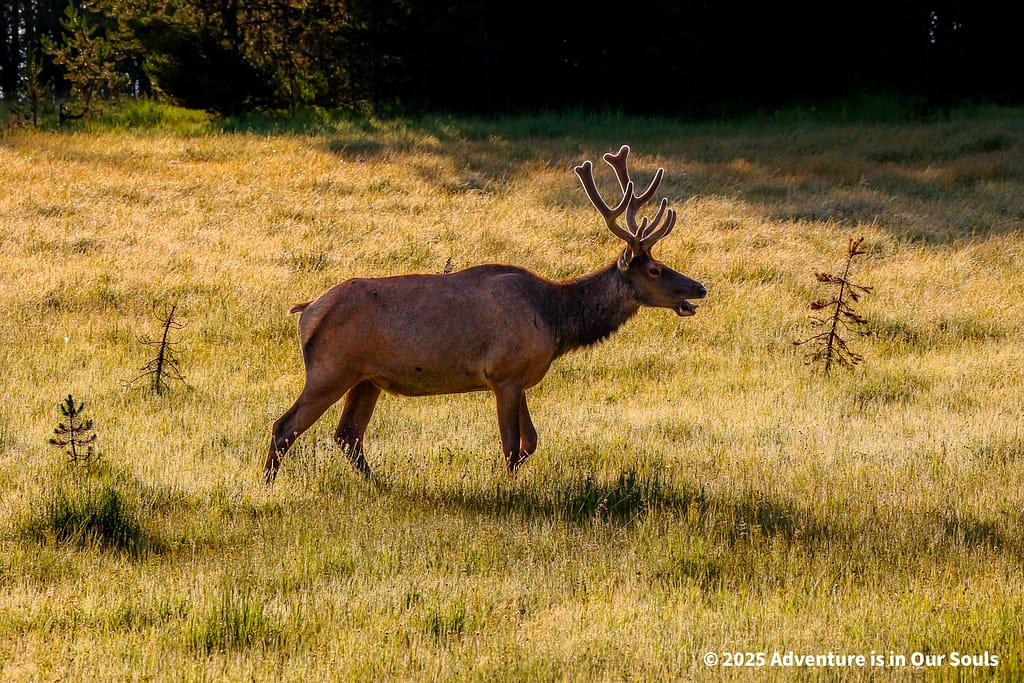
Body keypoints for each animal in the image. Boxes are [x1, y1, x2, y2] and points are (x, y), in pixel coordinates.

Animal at [263, 145, 706, 484]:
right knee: (285, 426)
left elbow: (531, 442)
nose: (699, 287)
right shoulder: (503, 373)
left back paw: (380, 483)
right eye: (655, 270)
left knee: (347, 436)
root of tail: (307, 311)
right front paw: (505, 489)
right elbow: (512, 446)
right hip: (331, 368)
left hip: (367, 378)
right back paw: (269, 485)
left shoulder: (520, 378)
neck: (554, 318)